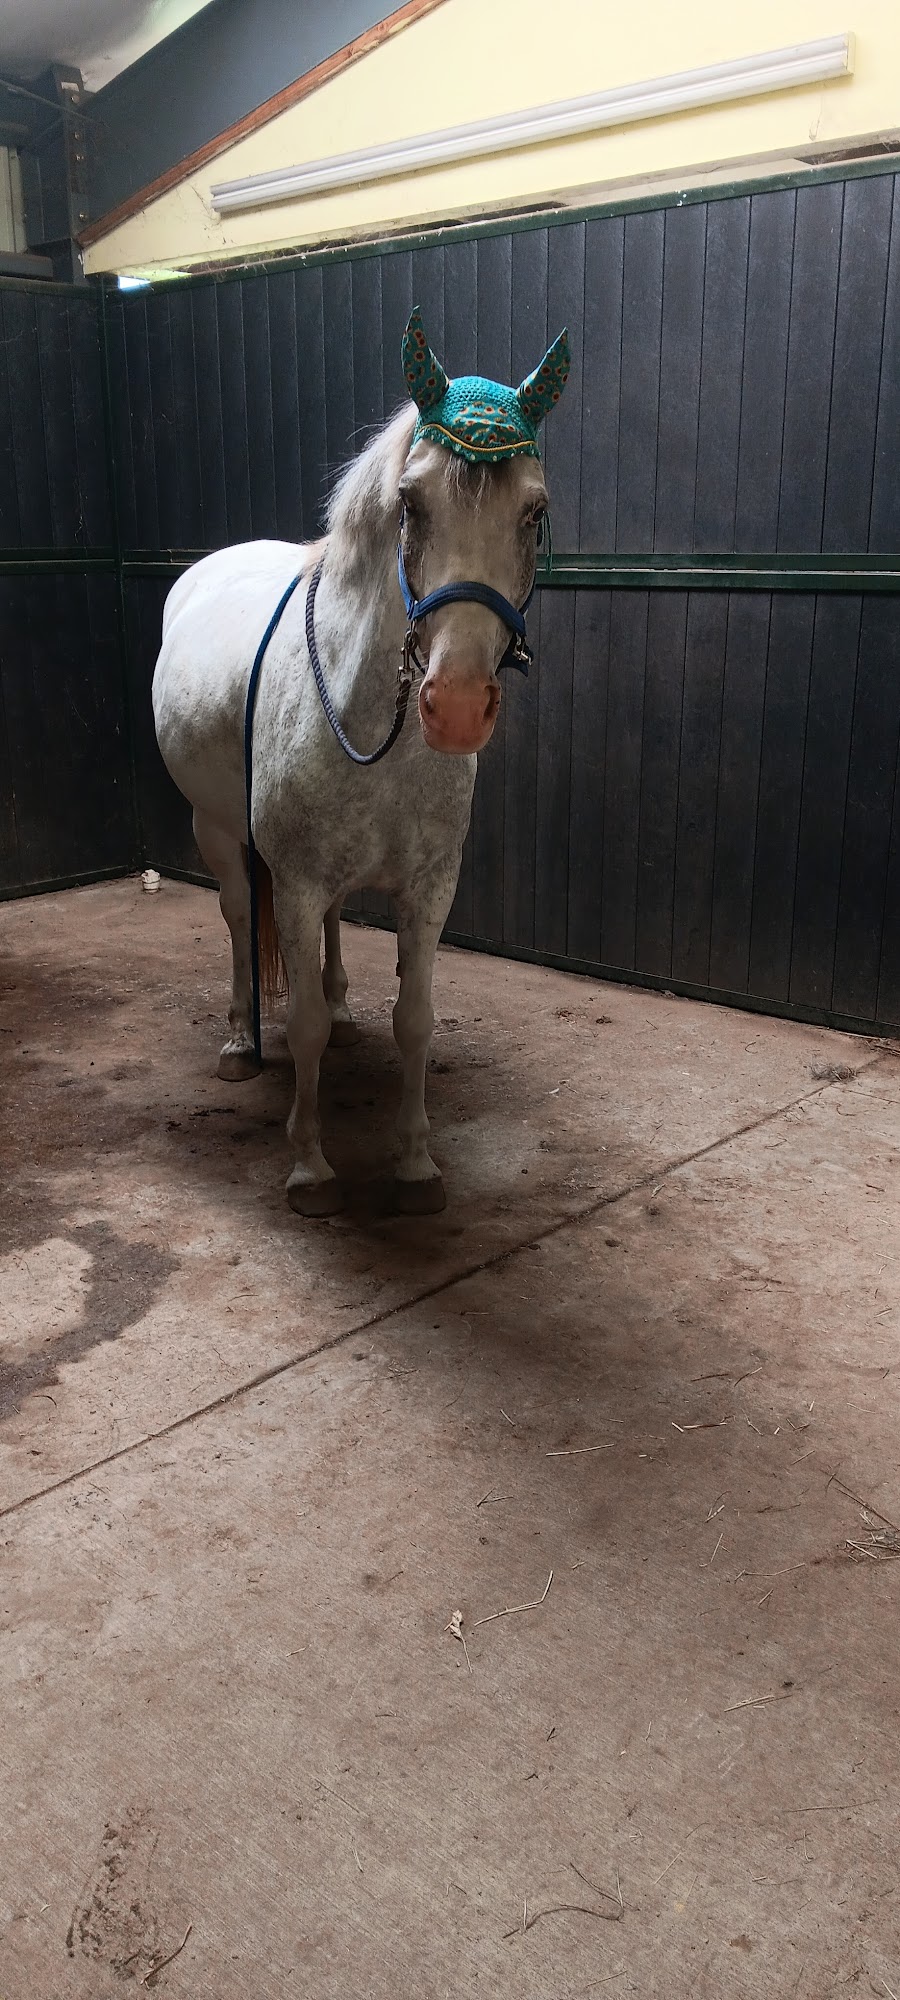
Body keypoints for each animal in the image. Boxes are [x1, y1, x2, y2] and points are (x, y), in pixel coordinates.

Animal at [152, 312, 570, 1216]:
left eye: (535, 513)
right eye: (411, 503)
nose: (456, 704)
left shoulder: (429, 888)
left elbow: (415, 1018)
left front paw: (414, 1162)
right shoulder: (295, 882)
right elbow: (300, 1022)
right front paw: (310, 1165)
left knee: (335, 939)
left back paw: (343, 1012)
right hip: (216, 833)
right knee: (238, 922)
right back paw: (239, 1039)